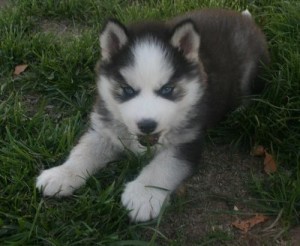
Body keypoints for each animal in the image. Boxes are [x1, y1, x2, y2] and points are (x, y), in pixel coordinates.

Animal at [35, 9, 270, 221]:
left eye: (167, 89)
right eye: (128, 90)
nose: (147, 125)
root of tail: (242, 18)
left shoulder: (188, 140)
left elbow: (163, 166)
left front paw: (143, 195)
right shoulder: (104, 130)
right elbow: (83, 151)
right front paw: (61, 174)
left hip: (252, 72)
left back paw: (239, 112)